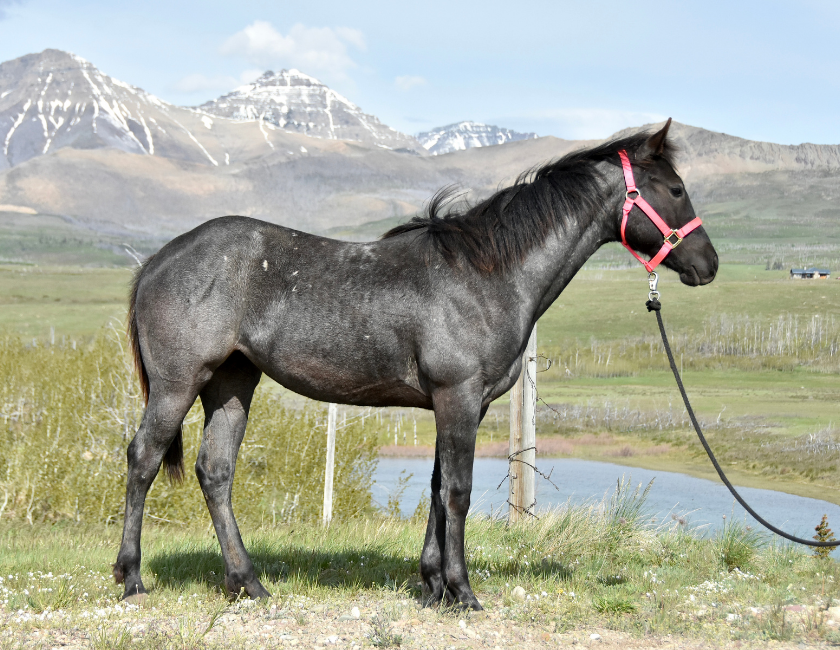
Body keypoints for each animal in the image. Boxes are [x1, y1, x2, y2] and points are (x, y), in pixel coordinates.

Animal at [113, 119, 718, 610]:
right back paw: (132, 577)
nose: (708, 264)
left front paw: (432, 585)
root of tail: (157, 261)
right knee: (143, 459)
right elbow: (458, 491)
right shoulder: (458, 396)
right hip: (177, 384)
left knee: (215, 471)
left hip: (232, 382)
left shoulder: (458, 405)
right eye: (676, 189)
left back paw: (248, 583)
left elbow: (436, 486)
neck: (486, 275)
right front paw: (462, 591)